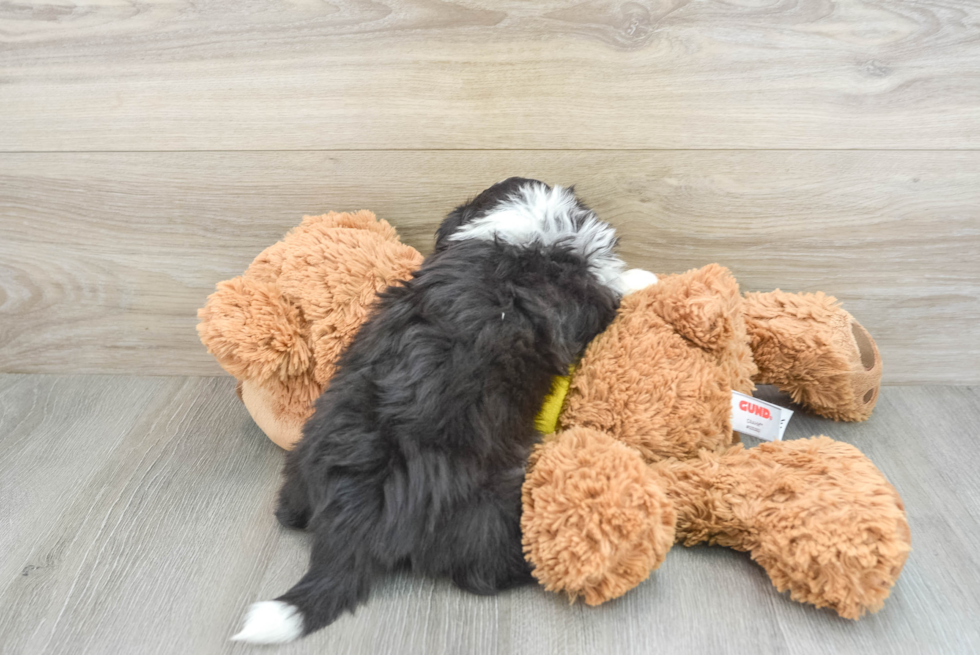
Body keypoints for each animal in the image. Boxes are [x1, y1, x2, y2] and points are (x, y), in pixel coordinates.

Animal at [233, 179, 656, 644]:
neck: (519, 237)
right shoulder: (585, 294)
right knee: (483, 572)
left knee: (289, 510)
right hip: (488, 510)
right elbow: (612, 283)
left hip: (303, 459)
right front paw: (644, 277)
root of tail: (352, 519)